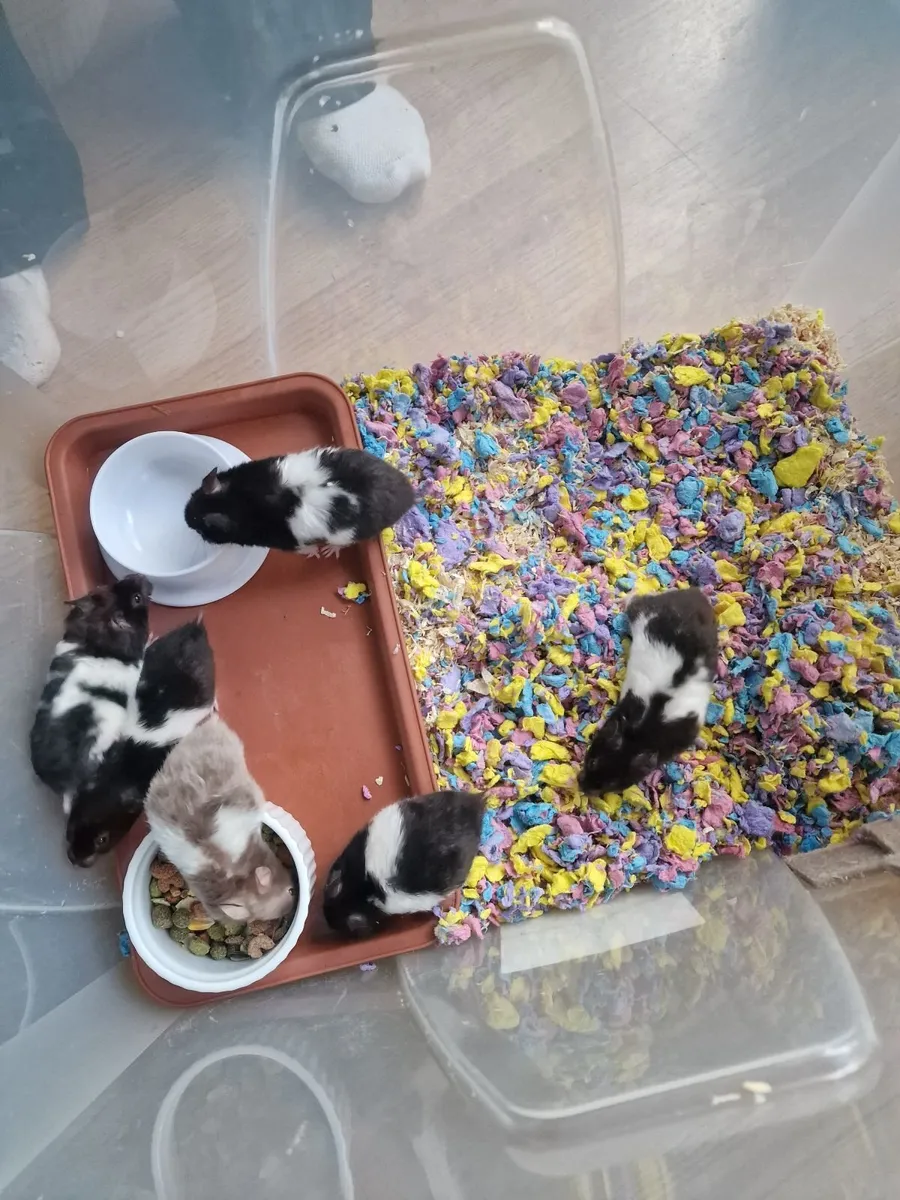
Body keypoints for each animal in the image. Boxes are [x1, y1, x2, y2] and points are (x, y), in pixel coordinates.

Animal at [183, 446, 415, 557]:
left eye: (199, 526)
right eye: (192, 496)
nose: (184, 517)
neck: (235, 500)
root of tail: (409, 496)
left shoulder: (284, 542)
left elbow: (302, 549)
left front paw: (315, 553)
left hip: (345, 534)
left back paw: (329, 551)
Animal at [579, 587, 718, 795]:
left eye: (611, 784)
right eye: (593, 762)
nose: (580, 787)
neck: (639, 739)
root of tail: (694, 592)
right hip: (643, 612)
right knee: (636, 600)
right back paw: (625, 597)